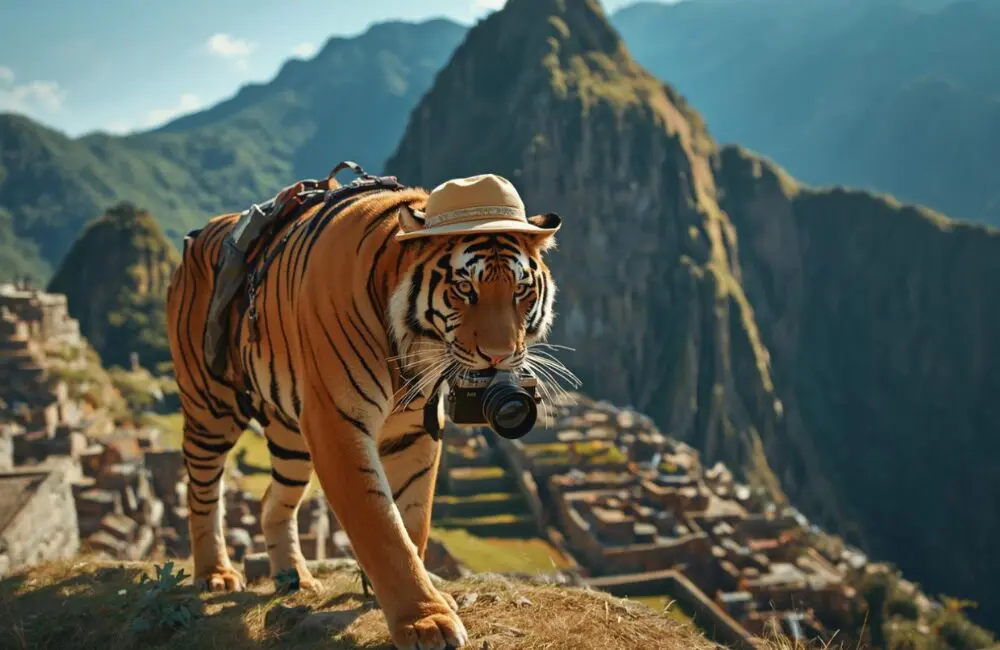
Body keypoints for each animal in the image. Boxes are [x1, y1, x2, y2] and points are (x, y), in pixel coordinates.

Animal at [165, 170, 563, 650]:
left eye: (521, 290)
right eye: (464, 289)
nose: (500, 357)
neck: (413, 349)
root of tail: (201, 234)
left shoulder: (414, 430)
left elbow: (414, 519)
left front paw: (400, 595)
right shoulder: (338, 424)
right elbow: (382, 529)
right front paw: (425, 620)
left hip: (290, 433)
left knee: (271, 500)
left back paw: (293, 576)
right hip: (211, 405)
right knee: (202, 488)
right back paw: (215, 573)